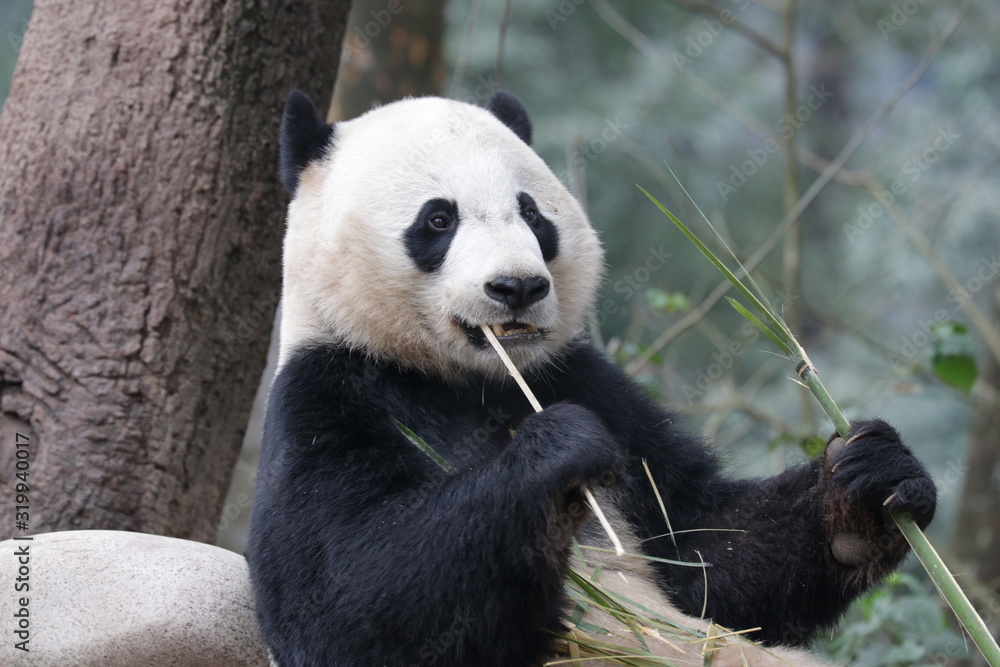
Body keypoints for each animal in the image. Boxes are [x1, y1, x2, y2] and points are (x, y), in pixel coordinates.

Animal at [246, 89, 937, 667]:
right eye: (438, 219)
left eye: (532, 214)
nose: (517, 287)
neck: (470, 379)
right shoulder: (331, 394)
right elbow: (342, 603)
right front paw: (561, 450)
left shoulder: (587, 380)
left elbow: (707, 555)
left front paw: (864, 482)